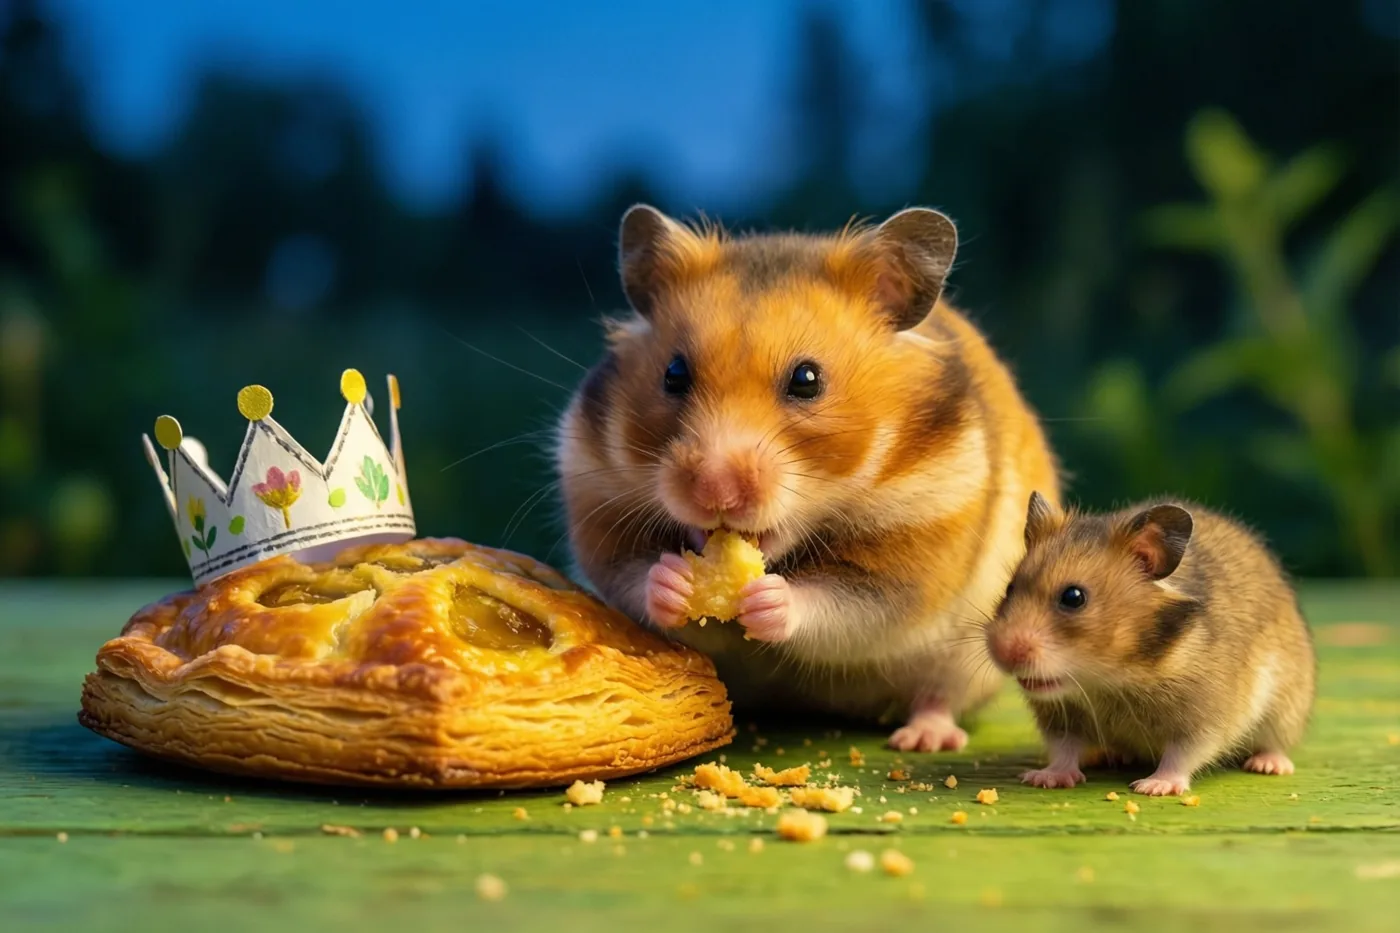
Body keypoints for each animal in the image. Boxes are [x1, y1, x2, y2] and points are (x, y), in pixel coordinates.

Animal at [554, 203, 1060, 752]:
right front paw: (675, 580)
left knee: (938, 694)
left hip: (965, 656)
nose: (714, 491)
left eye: (807, 380)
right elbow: (630, 576)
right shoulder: (596, 497)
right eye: (674, 374)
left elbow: (847, 604)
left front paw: (769, 598)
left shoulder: (920, 541)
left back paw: (924, 738)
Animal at [985, 492, 1316, 795]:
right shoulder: (1060, 716)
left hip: (1287, 708)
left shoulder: (1205, 715)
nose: (1003, 653)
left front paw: (1154, 787)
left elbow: (1182, 754)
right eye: (1009, 588)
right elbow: (1064, 749)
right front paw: (1044, 778)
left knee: (1275, 744)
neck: (1111, 681)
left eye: (1074, 597)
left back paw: (1268, 765)